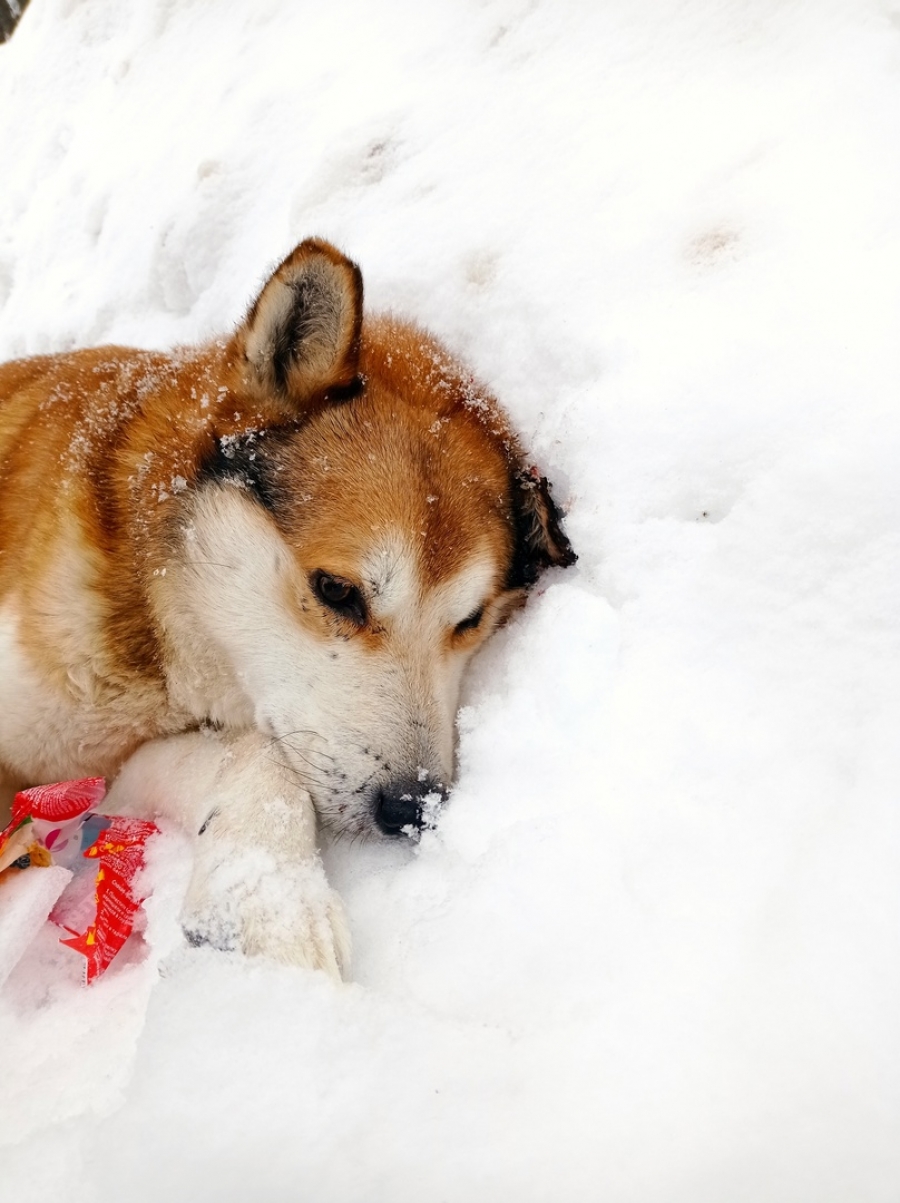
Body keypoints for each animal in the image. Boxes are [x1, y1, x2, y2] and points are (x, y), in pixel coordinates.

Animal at [0, 236, 577, 976]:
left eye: (470, 620)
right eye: (336, 590)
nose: (413, 807)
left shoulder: (108, 767)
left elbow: (251, 752)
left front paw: (259, 895)